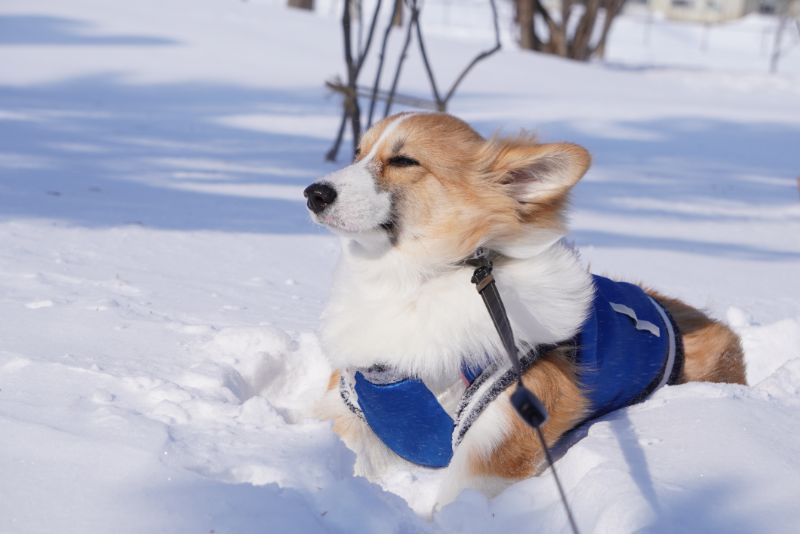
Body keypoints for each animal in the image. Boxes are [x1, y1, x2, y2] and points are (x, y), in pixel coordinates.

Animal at [304, 114, 744, 510]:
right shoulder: (351, 408)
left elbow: (450, 503)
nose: (313, 193)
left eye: (404, 161)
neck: (416, 282)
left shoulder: (499, 436)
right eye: (358, 152)